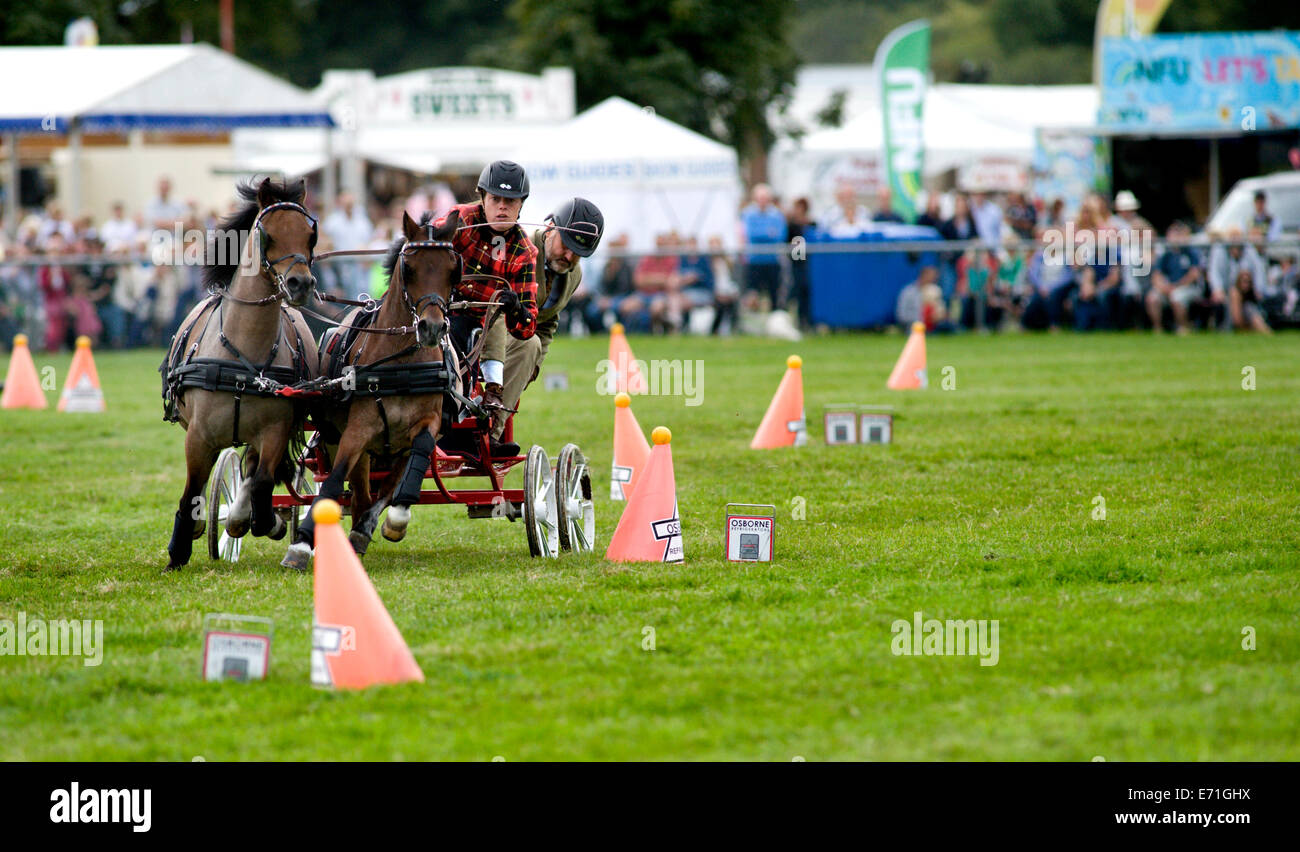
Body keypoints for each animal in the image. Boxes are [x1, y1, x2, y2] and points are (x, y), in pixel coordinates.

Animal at [160, 176, 322, 569]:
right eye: (268, 234)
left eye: (310, 235)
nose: (301, 284)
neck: (244, 353)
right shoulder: (198, 436)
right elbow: (192, 491)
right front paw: (179, 550)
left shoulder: (275, 430)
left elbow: (262, 481)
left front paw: (266, 521)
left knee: (251, 467)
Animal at [283, 209, 462, 569]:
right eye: (409, 268)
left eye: (453, 270)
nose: (432, 328)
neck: (402, 365)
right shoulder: (358, 430)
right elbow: (334, 480)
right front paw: (302, 543)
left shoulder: (429, 424)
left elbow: (413, 465)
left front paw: (396, 519)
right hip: (345, 438)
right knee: (360, 489)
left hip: (393, 451)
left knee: (385, 487)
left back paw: (365, 527)